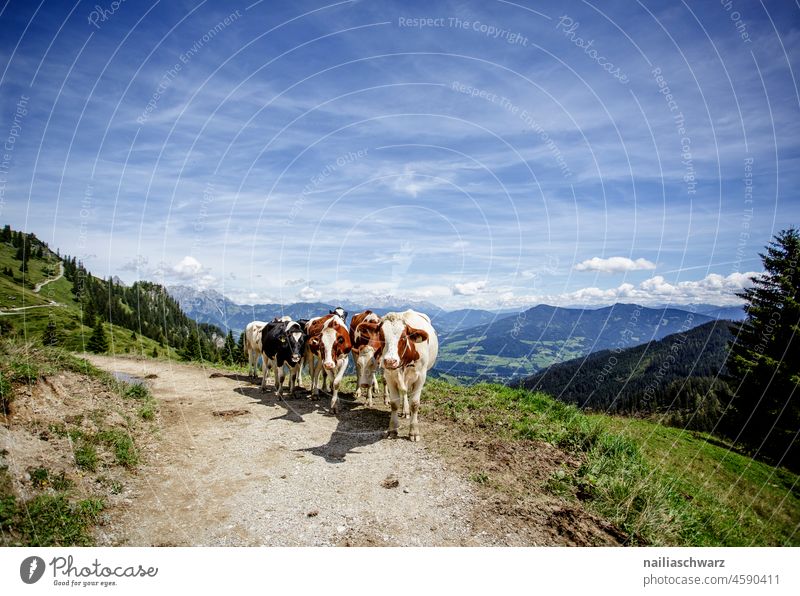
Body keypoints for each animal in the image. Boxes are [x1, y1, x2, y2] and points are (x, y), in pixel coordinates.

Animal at [380, 310, 438, 440]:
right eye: (381, 336)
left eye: (403, 337)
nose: (390, 361)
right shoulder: (390, 376)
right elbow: (394, 404)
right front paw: (392, 429)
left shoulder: (421, 377)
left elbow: (415, 404)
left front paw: (414, 431)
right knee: (405, 391)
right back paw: (405, 410)